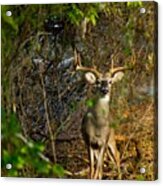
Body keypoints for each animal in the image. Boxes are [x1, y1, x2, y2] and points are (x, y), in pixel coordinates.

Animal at [74, 50, 131, 179]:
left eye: (110, 82)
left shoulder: (103, 142)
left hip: (111, 138)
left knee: (117, 156)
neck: (98, 126)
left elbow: (98, 168)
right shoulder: (89, 141)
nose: (105, 90)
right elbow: (92, 168)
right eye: (98, 82)